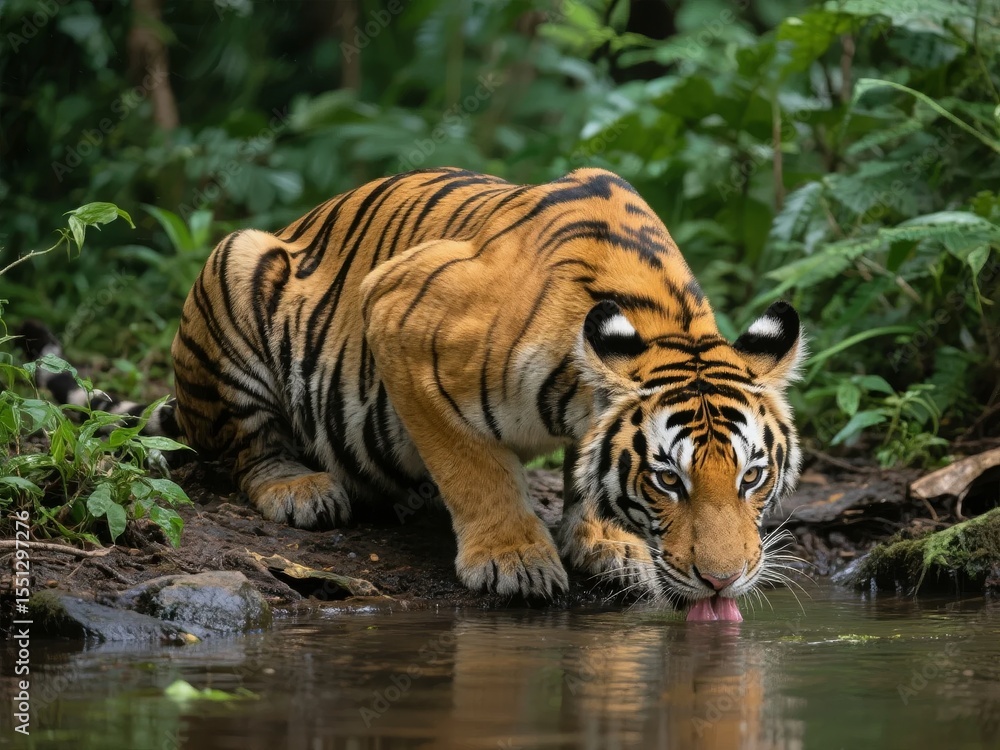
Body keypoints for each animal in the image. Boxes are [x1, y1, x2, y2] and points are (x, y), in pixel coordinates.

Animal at [24, 167, 804, 618]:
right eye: (668, 480)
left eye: (752, 477)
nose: (722, 583)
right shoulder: (398, 314)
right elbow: (474, 467)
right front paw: (513, 559)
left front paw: (606, 541)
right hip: (238, 261)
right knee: (247, 449)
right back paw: (300, 488)